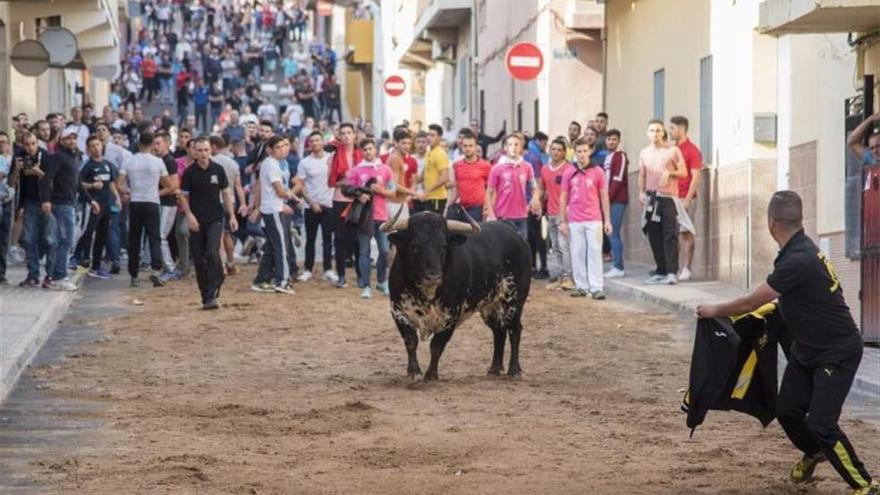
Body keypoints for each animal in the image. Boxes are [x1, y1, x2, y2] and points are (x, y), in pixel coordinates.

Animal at [384, 211, 532, 382]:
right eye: (414, 246)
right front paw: (414, 371)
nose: (433, 276)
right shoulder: (398, 311)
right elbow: (411, 341)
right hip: (490, 307)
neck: (426, 294)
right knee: (499, 331)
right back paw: (494, 368)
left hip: (514, 301)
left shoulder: (451, 315)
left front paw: (431, 374)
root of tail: (511, 229)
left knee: (515, 330)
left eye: (443, 246)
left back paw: (514, 370)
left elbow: (436, 345)